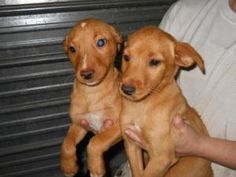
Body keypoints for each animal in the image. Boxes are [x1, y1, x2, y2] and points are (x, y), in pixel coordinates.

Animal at [60, 18, 122, 177]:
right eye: (72, 49)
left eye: (101, 42)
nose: (86, 74)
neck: (92, 92)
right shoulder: (79, 123)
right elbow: (66, 143)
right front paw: (68, 167)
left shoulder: (121, 124)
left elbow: (95, 141)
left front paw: (95, 168)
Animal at [120, 25, 214, 177]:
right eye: (126, 57)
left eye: (154, 62)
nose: (126, 89)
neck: (144, 105)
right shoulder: (131, 144)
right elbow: (137, 172)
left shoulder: (162, 157)